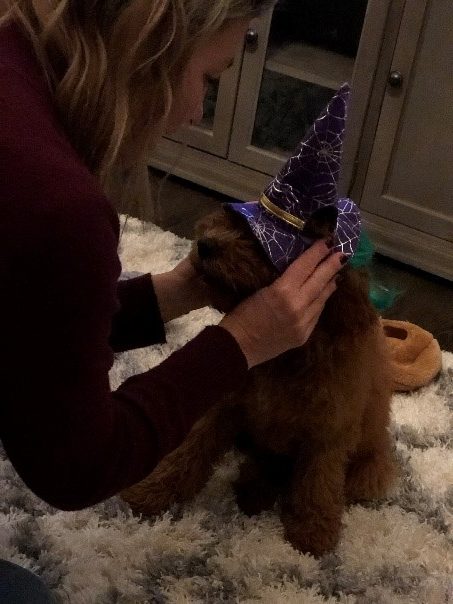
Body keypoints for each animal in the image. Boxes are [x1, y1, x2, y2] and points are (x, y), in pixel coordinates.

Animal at [121, 206, 396, 556]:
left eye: (262, 244)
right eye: (236, 220)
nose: (205, 244)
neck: (285, 357)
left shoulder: (329, 431)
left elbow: (318, 482)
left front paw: (313, 531)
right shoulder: (224, 405)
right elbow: (190, 449)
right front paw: (152, 489)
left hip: (368, 467)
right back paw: (254, 489)